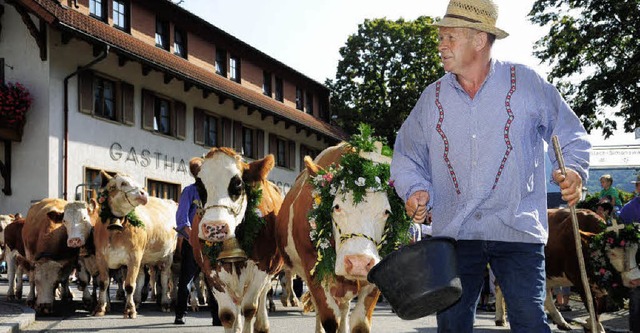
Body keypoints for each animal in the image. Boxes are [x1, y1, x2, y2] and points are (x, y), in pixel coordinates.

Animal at [92, 172, 178, 318]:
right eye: (122, 183)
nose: (143, 193)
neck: (115, 230)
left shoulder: (134, 257)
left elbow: (129, 285)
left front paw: (129, 310)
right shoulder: (100, 257)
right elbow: (103, 283)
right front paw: (100, 308)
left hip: (167, 256)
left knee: (164, 277)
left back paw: (165, 303)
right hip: (145, 258)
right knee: (143, 277)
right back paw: (137, 300)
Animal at [188, 148, 282, 332]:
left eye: (238, 184)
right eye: (199, 186)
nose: (215, 228)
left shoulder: (262, 268)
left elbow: (250, 308)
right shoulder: (211, 272)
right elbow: (227, 314)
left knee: (263, 294)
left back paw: (262, 324)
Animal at [276, 143, 404, 332]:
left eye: (387, 211)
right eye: (336, 206)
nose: (358, 263)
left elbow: (360, 323)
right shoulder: (313, 270)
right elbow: (329, 319)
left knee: (343, 308)